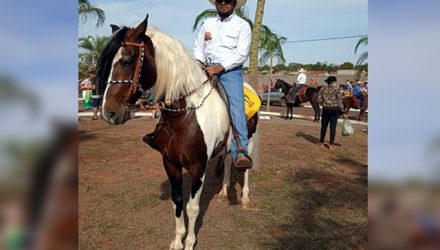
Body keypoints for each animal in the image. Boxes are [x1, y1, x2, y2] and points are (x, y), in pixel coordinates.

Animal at [93, 15, 258, 248]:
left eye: (126, 60)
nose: (109, 113)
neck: (184, 115)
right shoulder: (170, 162)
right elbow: (177, 202)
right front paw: (178, 239)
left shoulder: (198, 166)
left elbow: (192, 207)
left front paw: (189, 242)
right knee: (227, 161)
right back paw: (224, 192)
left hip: (249, 141)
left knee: (245, 168)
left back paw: (244, 197)